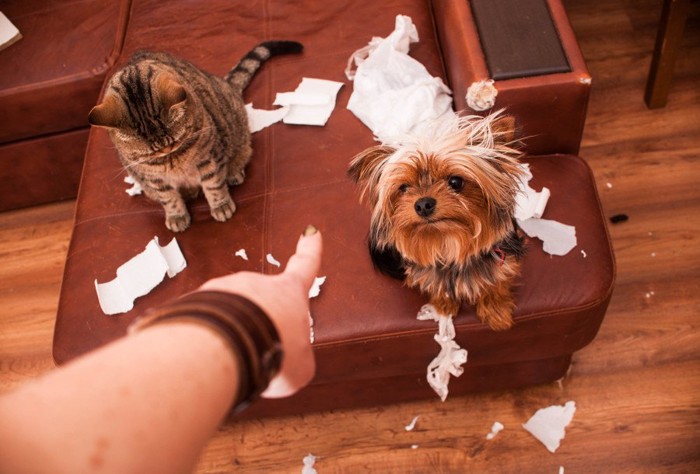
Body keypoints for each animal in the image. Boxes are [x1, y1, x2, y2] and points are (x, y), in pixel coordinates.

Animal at [87, 40, 300, 231]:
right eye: (149, 154)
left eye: (176, 141)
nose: (168, 153)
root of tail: (226, 84)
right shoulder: (154, 179)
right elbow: (169, 199)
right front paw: (177, 216)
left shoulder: (210, 157)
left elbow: (213, 184)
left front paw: (221, 205)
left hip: (238, 136)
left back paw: (233, 172)